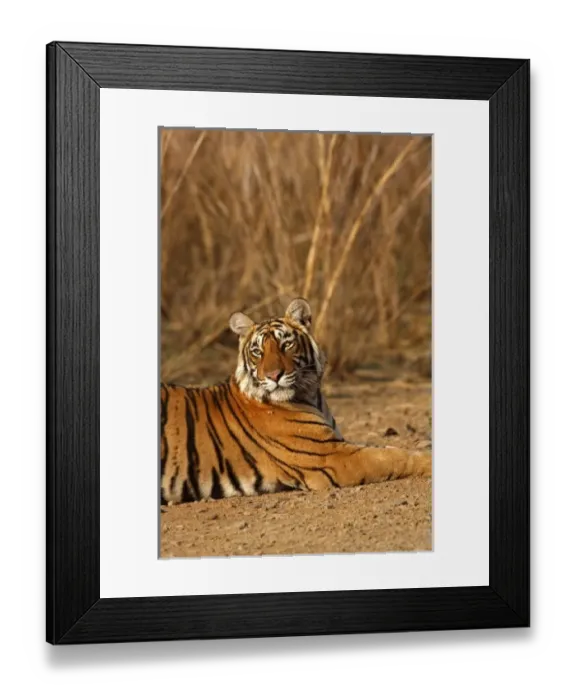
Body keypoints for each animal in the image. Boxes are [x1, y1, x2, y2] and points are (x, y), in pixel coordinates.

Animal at [160, 297, 431, 505]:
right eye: (257, 351)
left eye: (286, 343)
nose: (274, 375)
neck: (310, 394)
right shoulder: (331, 455)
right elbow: (392, 457)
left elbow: (387, 449)